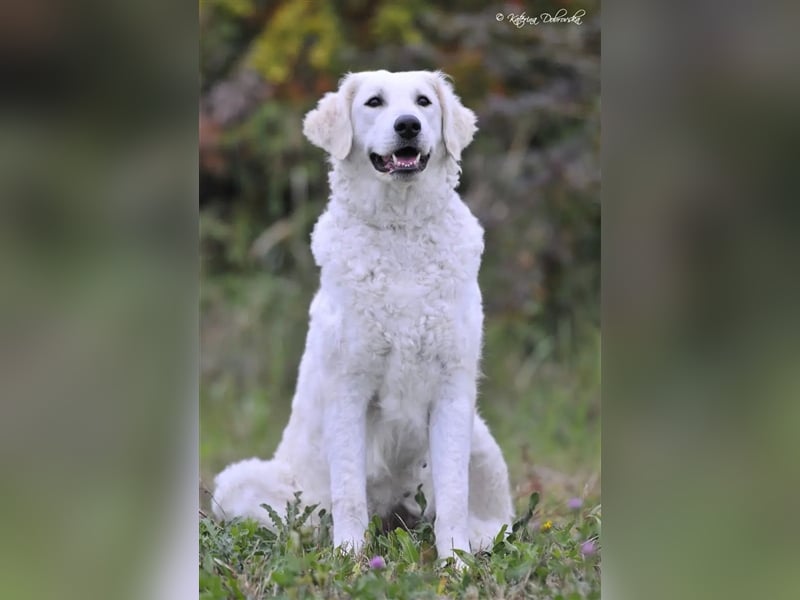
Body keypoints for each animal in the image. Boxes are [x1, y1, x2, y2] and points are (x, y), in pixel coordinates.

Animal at [212, 70, 512, 564]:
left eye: (424, 102)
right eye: (374, 102)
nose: (408, 125)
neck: (400, 229)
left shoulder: (453, 390)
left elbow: (453, 494)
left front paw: (455, 562)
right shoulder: (348, 388)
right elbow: (349, 490)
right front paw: (350, 558)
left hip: (481, 437)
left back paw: (481, 540)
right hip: (241, 481)